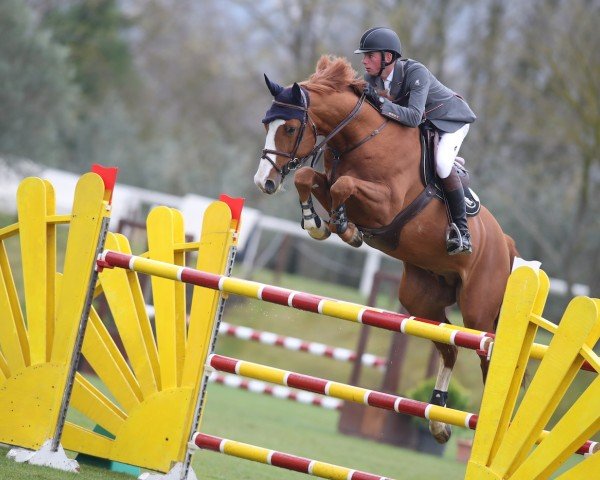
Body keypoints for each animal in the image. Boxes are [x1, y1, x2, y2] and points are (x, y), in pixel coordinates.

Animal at [253, 57, 516, 446]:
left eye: (289, 127)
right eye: (266, 124)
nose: (264, 182)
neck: (359, 138)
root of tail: (505, 243)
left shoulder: (385, 205)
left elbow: (344, 185)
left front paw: (344, 228)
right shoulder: (329, 182)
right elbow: (309, 179)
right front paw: (320, 224)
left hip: (478, 310)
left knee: (488, 356)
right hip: (421, 299)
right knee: (450, 347)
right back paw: (438, 419)